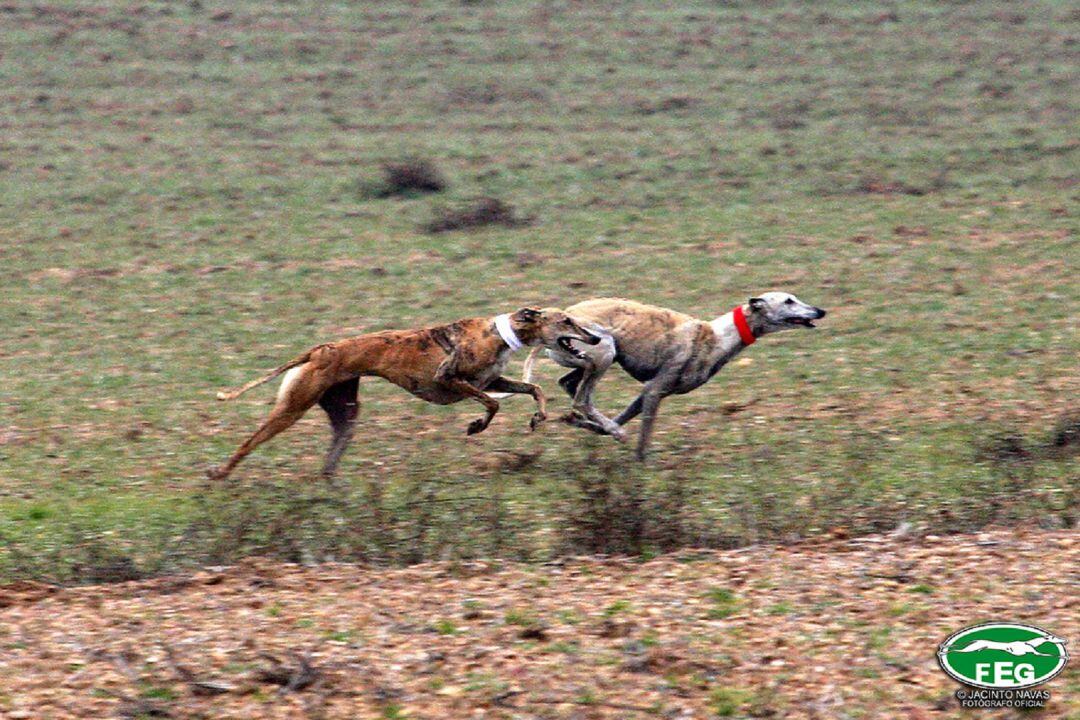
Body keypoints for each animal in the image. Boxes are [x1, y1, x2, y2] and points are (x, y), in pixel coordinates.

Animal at [206, 306, 604, 481]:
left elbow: (533, 389)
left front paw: (538, 417)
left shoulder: (489, 381)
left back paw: (329, 483)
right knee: (250, 441)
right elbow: (492, 405)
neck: (500, 333)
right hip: (291, 408)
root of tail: (321, 349)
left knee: (334, 448)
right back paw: (221, 473)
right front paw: (476, 425)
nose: (595, 337)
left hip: (345, 413)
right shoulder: (451, 379)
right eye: (567, 321)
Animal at [520, 293, 825, 459]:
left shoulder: (648, 393)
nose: (820, 311)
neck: (716, 336)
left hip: (592, 360)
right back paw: (606, 426)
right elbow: (642, 436)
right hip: (604, 349)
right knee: (582, 399)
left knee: (570, 385)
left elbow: (619, 417)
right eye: (788, 300)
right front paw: (639, 462)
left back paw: (592, 421)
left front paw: (591, 425)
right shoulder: (655, 391)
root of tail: (564, 316)